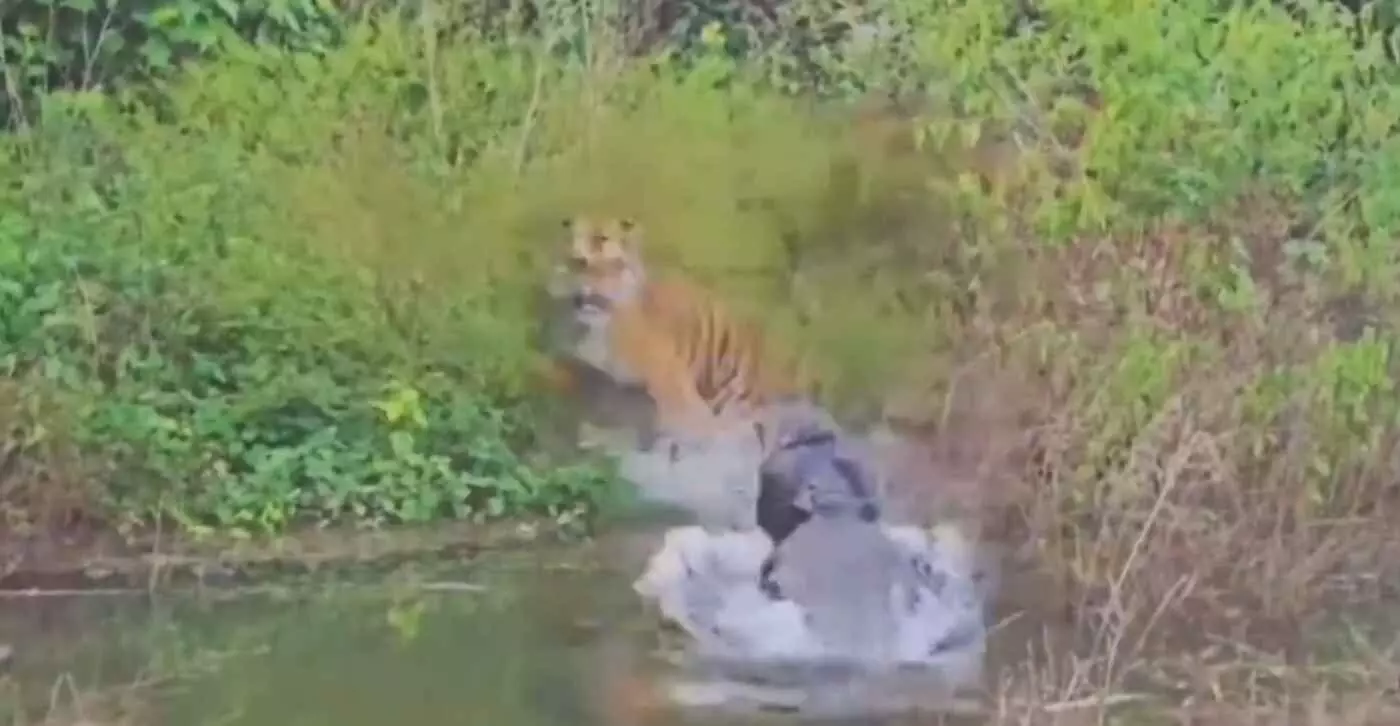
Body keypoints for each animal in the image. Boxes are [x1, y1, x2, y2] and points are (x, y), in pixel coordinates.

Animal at [539, 215, 810, 462]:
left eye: (600, 239)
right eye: (569, 238)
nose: (575, 259)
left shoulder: (667, 373)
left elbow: (685, 415)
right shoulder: (589, 372)